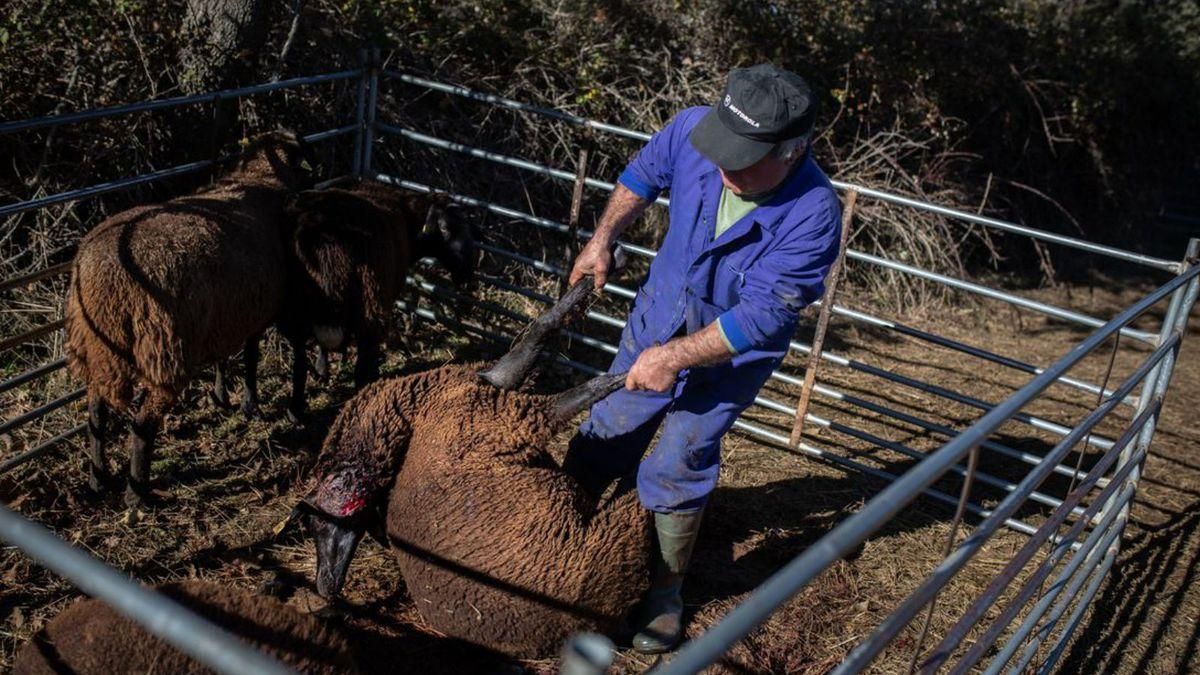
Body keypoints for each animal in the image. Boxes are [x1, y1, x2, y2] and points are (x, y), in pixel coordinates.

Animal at [64, 128, 314, 502]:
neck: (262, 177)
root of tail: (109, 281)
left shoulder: (231, 312)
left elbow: (230, 356)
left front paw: (225, 398)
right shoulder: (257, 309)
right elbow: (252, 356)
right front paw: (252, 403)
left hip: (96, 346)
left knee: (96, 412)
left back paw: (98, 479)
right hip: (164, 350)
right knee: (142, 422)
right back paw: (137, 494)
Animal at [277, 180, 472, 420]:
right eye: (444, 228)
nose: (467, 273)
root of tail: (327, 244)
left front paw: (323, 368)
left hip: (294, 303)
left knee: (299, 357)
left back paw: (295, 409)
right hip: (369, 299)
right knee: (363, 357)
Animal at [295, 277, 652, 658]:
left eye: (320, 521)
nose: (324, 586)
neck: (415, 412)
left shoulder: (495, 384)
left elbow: (536, 333)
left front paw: (585, 285)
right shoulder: (506, 415)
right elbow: (562, 382)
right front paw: (622, 376)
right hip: (618, 534)